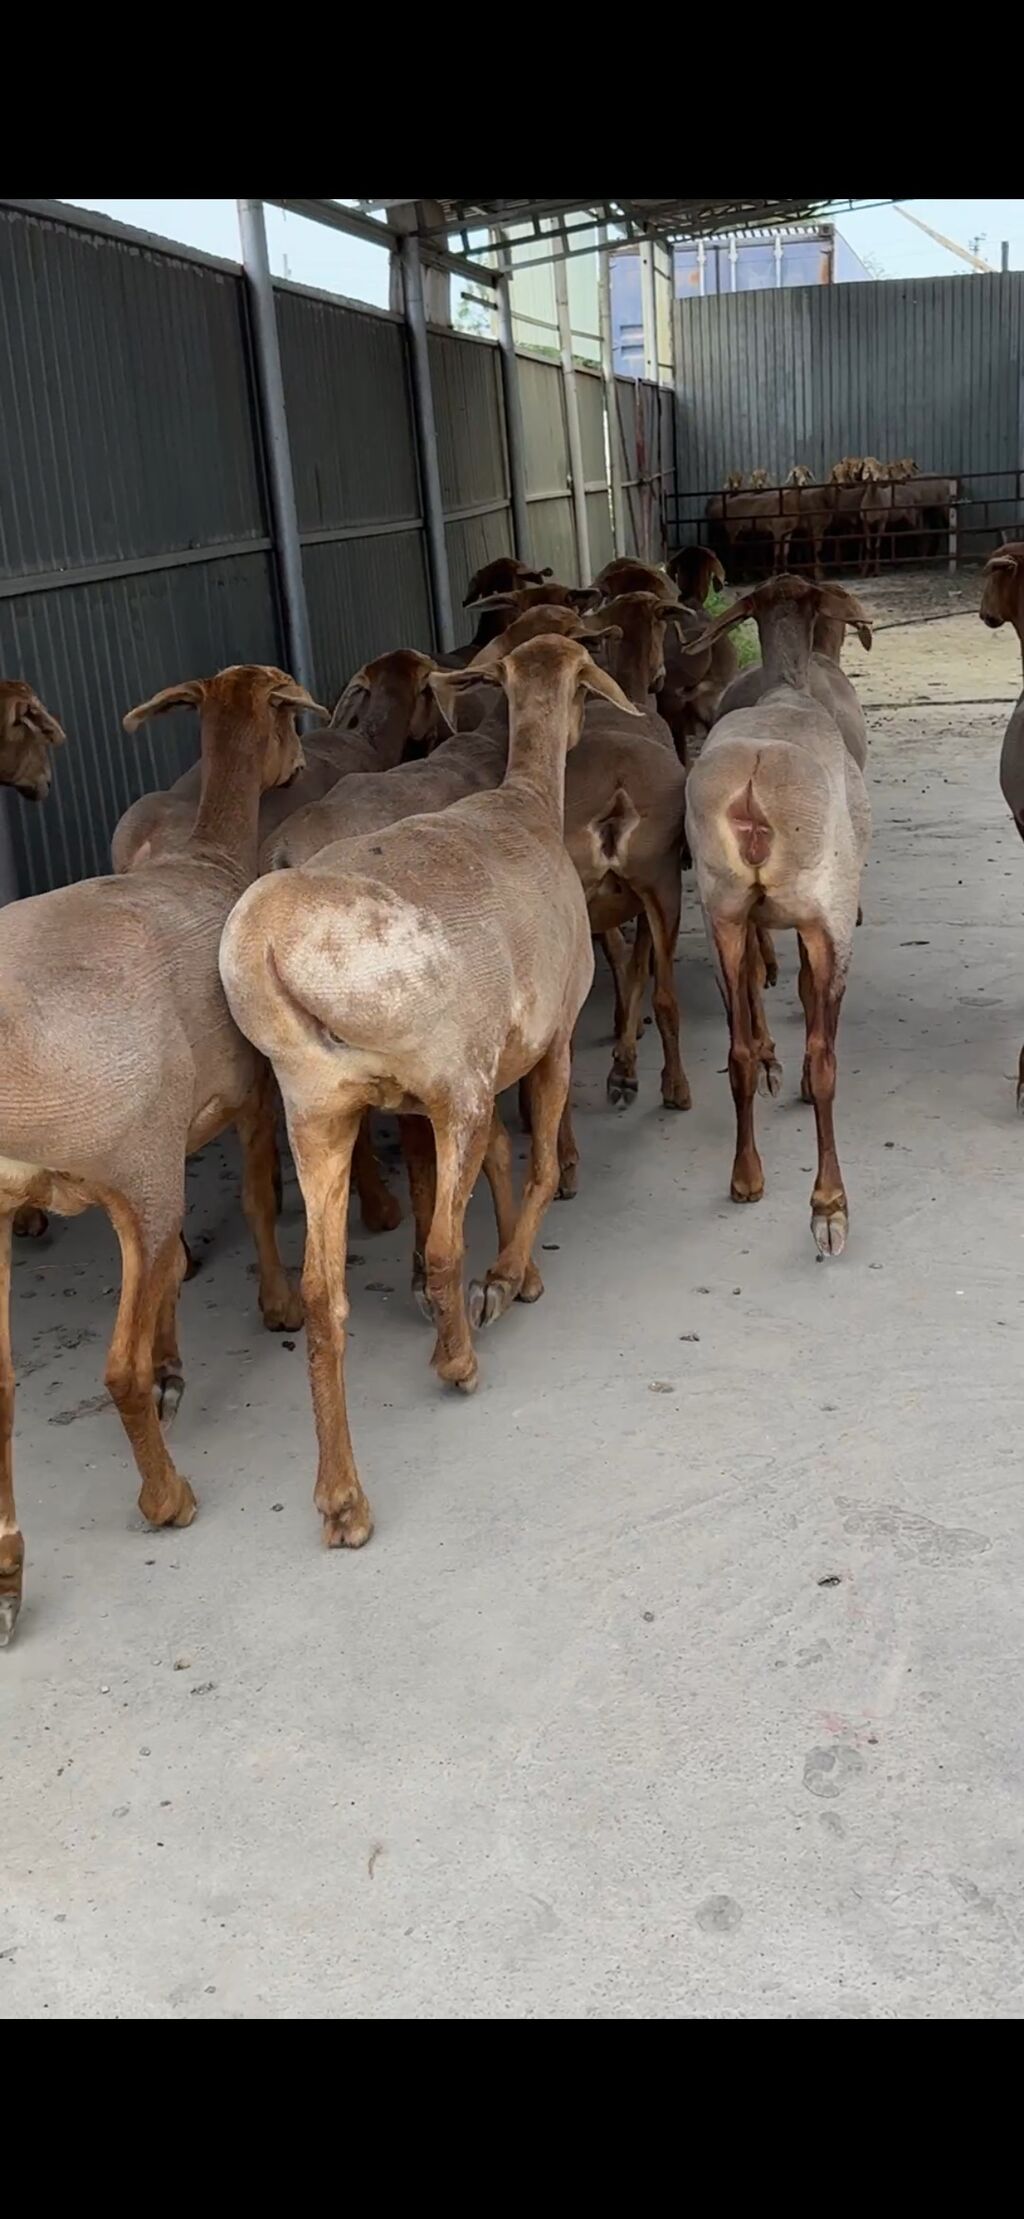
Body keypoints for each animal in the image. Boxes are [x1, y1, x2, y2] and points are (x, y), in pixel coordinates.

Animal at [0, 665, 322, 1641]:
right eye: (289, 714)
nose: (301, 763)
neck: (210, 856)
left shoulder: (175, 1134)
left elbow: (176, 1271)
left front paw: (180, 1359)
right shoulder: (246, 1095)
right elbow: (254, 1198)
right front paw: (278, 1305)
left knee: (0, 1389)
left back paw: (8, 1576)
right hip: (129, 1165)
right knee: (115, 1371)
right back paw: (167, 1496)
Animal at [219, 636, 635, 1548]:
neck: (527, 799)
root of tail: (266, 941)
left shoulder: (470, 1071)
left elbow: (505, 1160)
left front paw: (517, 1275)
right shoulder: (541, 1042)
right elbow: (539, 1162)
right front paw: (508, 1278)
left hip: (318, 1106)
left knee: (321, 1298)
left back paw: (342, 1498)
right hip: (449, 1079)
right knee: (443, 1244)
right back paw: (458, 1359)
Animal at [683, 577, 872, 1257]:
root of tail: (751, 789)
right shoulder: (818, 917)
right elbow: (809, 1001)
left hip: (720, 909)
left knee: (737, 1050)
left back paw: (746, 1177)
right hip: (826, 910)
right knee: (825, 1057)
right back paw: (829, 1205)